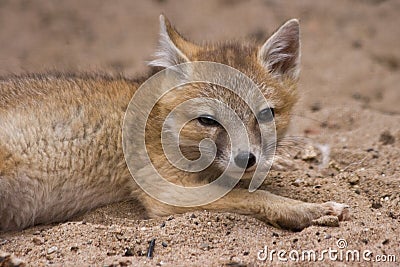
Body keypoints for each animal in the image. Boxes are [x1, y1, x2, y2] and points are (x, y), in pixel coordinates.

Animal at [0, 15, 348, 232]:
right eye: (207, 120)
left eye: (266, 115)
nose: (246, 159)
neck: (162, 126)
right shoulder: (169, 190)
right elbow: (257, 197)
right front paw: (311, 210)